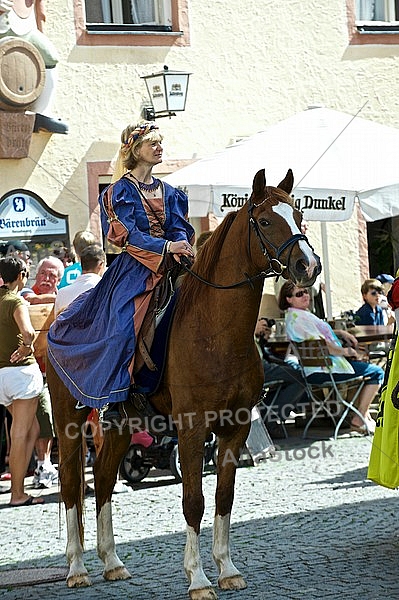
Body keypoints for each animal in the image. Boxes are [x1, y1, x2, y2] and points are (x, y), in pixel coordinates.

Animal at [47, 169, 322, 600]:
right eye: (264, 221)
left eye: (298, 215)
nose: (307, 266)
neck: (216, 330)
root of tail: (53, 318)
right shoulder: (192, 429)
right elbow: (193, 500)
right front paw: (198, 579)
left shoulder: (235, 429)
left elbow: (224, 496)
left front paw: (227, 569)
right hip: (69, 423)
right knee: (72, 484)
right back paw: (77, 567)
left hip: (121, 424)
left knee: (105, 479)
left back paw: (112, 562)